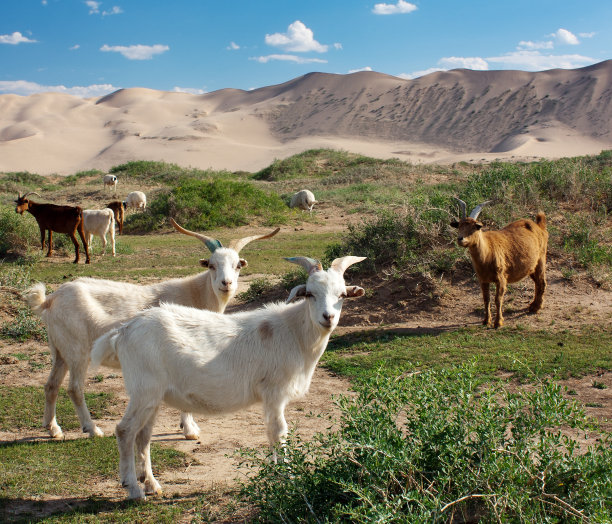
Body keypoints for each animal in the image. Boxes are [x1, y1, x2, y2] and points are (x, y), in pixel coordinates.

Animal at [22, 219, 280, 440]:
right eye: (212, 265)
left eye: (237, 266)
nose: (226, 284)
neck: (195, 293)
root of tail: (50, 299)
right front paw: (189, 430)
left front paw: (188, 426)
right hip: (78, 351)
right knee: (75, 388)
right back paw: (92, 429)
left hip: (59, 350)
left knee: (51, 385)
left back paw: (53, 429)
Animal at [91, 256, 366, 502]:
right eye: (309, 294)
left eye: (342, 295)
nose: (328, 317)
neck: (294, 332)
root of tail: (124, 331)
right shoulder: (274, 393)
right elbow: (278, 433)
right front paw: (288, 478)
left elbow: (272, 434)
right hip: (144, 390)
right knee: (125, 430)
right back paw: (133, 489)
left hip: (153, 396)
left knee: (142, 436)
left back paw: (151, 484)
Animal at [452, 200, 548, 328]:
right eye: (459, 226)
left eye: (474, 227)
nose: (460, 239)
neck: (488, 252)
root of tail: (540, 227)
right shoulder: (483, 279)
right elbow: (486, 299)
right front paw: (486, 321)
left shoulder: (501, 278)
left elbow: (498, 299)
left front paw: (498, 322)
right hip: (531, 267)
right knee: (537, 282)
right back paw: (533, 306)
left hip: (541, 260)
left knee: (542, 282)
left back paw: (536, 308)